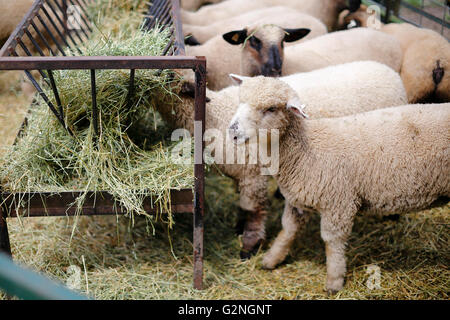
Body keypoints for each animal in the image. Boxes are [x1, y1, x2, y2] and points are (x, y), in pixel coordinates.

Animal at [167, 60, 410, 260]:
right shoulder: (242, 173)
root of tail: (388, 71)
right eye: (240, 100)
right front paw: (239, 226)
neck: (214, 113)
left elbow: (254, 209)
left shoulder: (253, 174)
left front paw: (250, 245)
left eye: (270, 109)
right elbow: (243, 205)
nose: (233, 131)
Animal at [229, 74, 450, 292]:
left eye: (271, 109)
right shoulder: (297, 201)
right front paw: (271, 259)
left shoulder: (338, 204)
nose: (232, 131)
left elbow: (332, 243)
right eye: (240, 101)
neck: (305, 148)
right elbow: (288, 229)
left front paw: (334, 281)